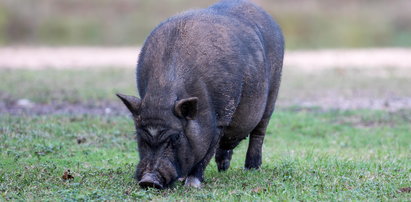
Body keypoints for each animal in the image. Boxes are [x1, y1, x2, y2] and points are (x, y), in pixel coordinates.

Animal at [116, 0, 284, 189]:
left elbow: (205, 154)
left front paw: (191, 184)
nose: (148, 180)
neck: (163, 92)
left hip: (273, 91)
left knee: (259, 131)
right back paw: (223, 168)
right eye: (139, 136)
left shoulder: (220, 119)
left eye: (176, 137)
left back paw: (252, 168)